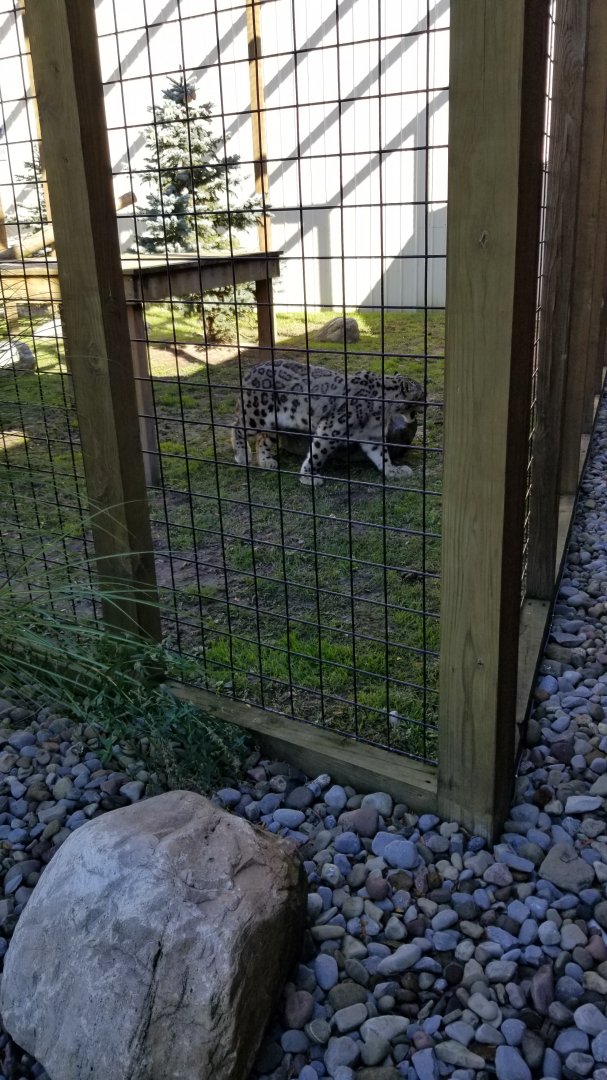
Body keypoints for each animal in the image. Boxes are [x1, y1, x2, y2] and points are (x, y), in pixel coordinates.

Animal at [231, 358, 424, 486]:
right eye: (421, 394)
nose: (426, 404)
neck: (384, 412)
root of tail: (251, 370)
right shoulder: (330, 430)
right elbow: (317, 454)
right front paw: (308, 477)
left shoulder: (373, 437)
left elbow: (382, 456)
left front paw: (394, 471)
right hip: (256, 414)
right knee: (236, 426)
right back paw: (242, 455)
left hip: (274, 424)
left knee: (262, 439)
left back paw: (266, 461)